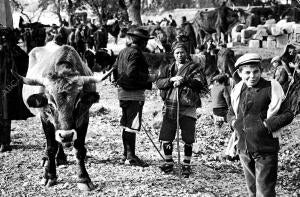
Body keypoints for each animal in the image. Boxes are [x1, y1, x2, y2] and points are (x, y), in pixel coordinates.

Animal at [12, 43, 109, 190]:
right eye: (51, 103)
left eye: (77, 101)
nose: (67, 135)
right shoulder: (45, 118)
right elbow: (51, 147)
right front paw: (49, 175)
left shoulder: (84, 117)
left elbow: (79, 149)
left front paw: (83, 178)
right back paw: (47, 158)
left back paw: (61, 157)